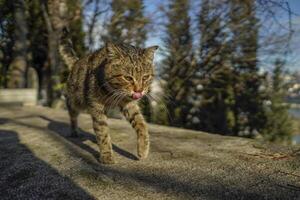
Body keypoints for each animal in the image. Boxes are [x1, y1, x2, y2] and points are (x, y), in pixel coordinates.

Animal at [57, 30, 158, 164]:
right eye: (128, 78)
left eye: (145, 77)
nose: (139, 90)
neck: (113, 91)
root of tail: (76, 61)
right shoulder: (96, 107)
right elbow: (102, 131)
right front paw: (106, 155)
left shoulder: (129, 104)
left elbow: (141, 124)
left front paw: (143, 149)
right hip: (75, 101)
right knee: (72, 114)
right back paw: (74, 131)